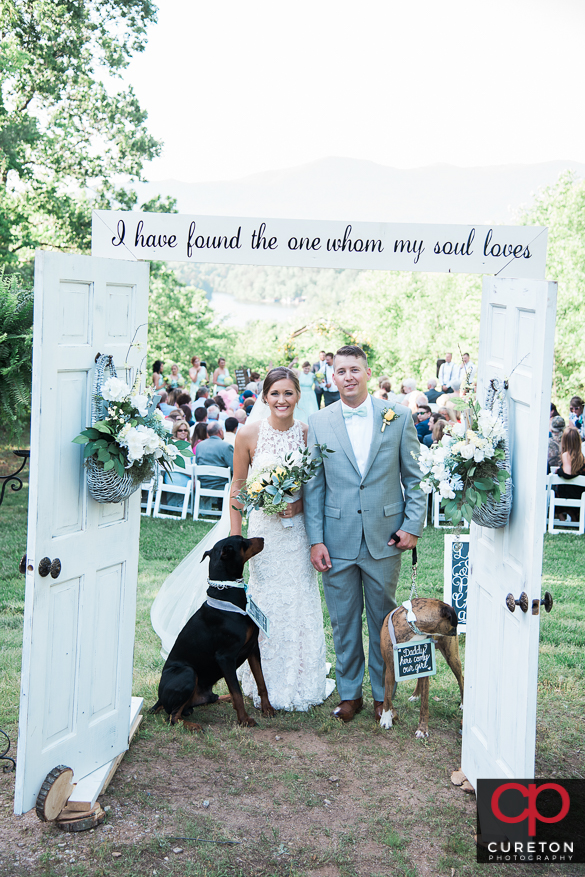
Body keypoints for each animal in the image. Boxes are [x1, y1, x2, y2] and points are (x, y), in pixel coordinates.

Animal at [149, 532, 274, 724]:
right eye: (242, 541)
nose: (262, 538)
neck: (228, 594)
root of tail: (159, 699)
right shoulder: (225, 657)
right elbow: (237, 691)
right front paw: (244, 720)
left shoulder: (253, 648)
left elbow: (261, 682)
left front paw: (267, 708)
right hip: (188, 672)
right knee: (173, 717)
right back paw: (193, 726)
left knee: (208, 699)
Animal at [380, 596, 464, 740]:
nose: (456, 630)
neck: (414, 626)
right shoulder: (391, 669)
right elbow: (387, 696)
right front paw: (386, 718)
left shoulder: (425, 666)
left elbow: (424, 705)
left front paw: (422, 729)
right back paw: (415, 695)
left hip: (452, 657)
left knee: (461, 678)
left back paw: (463, 704)